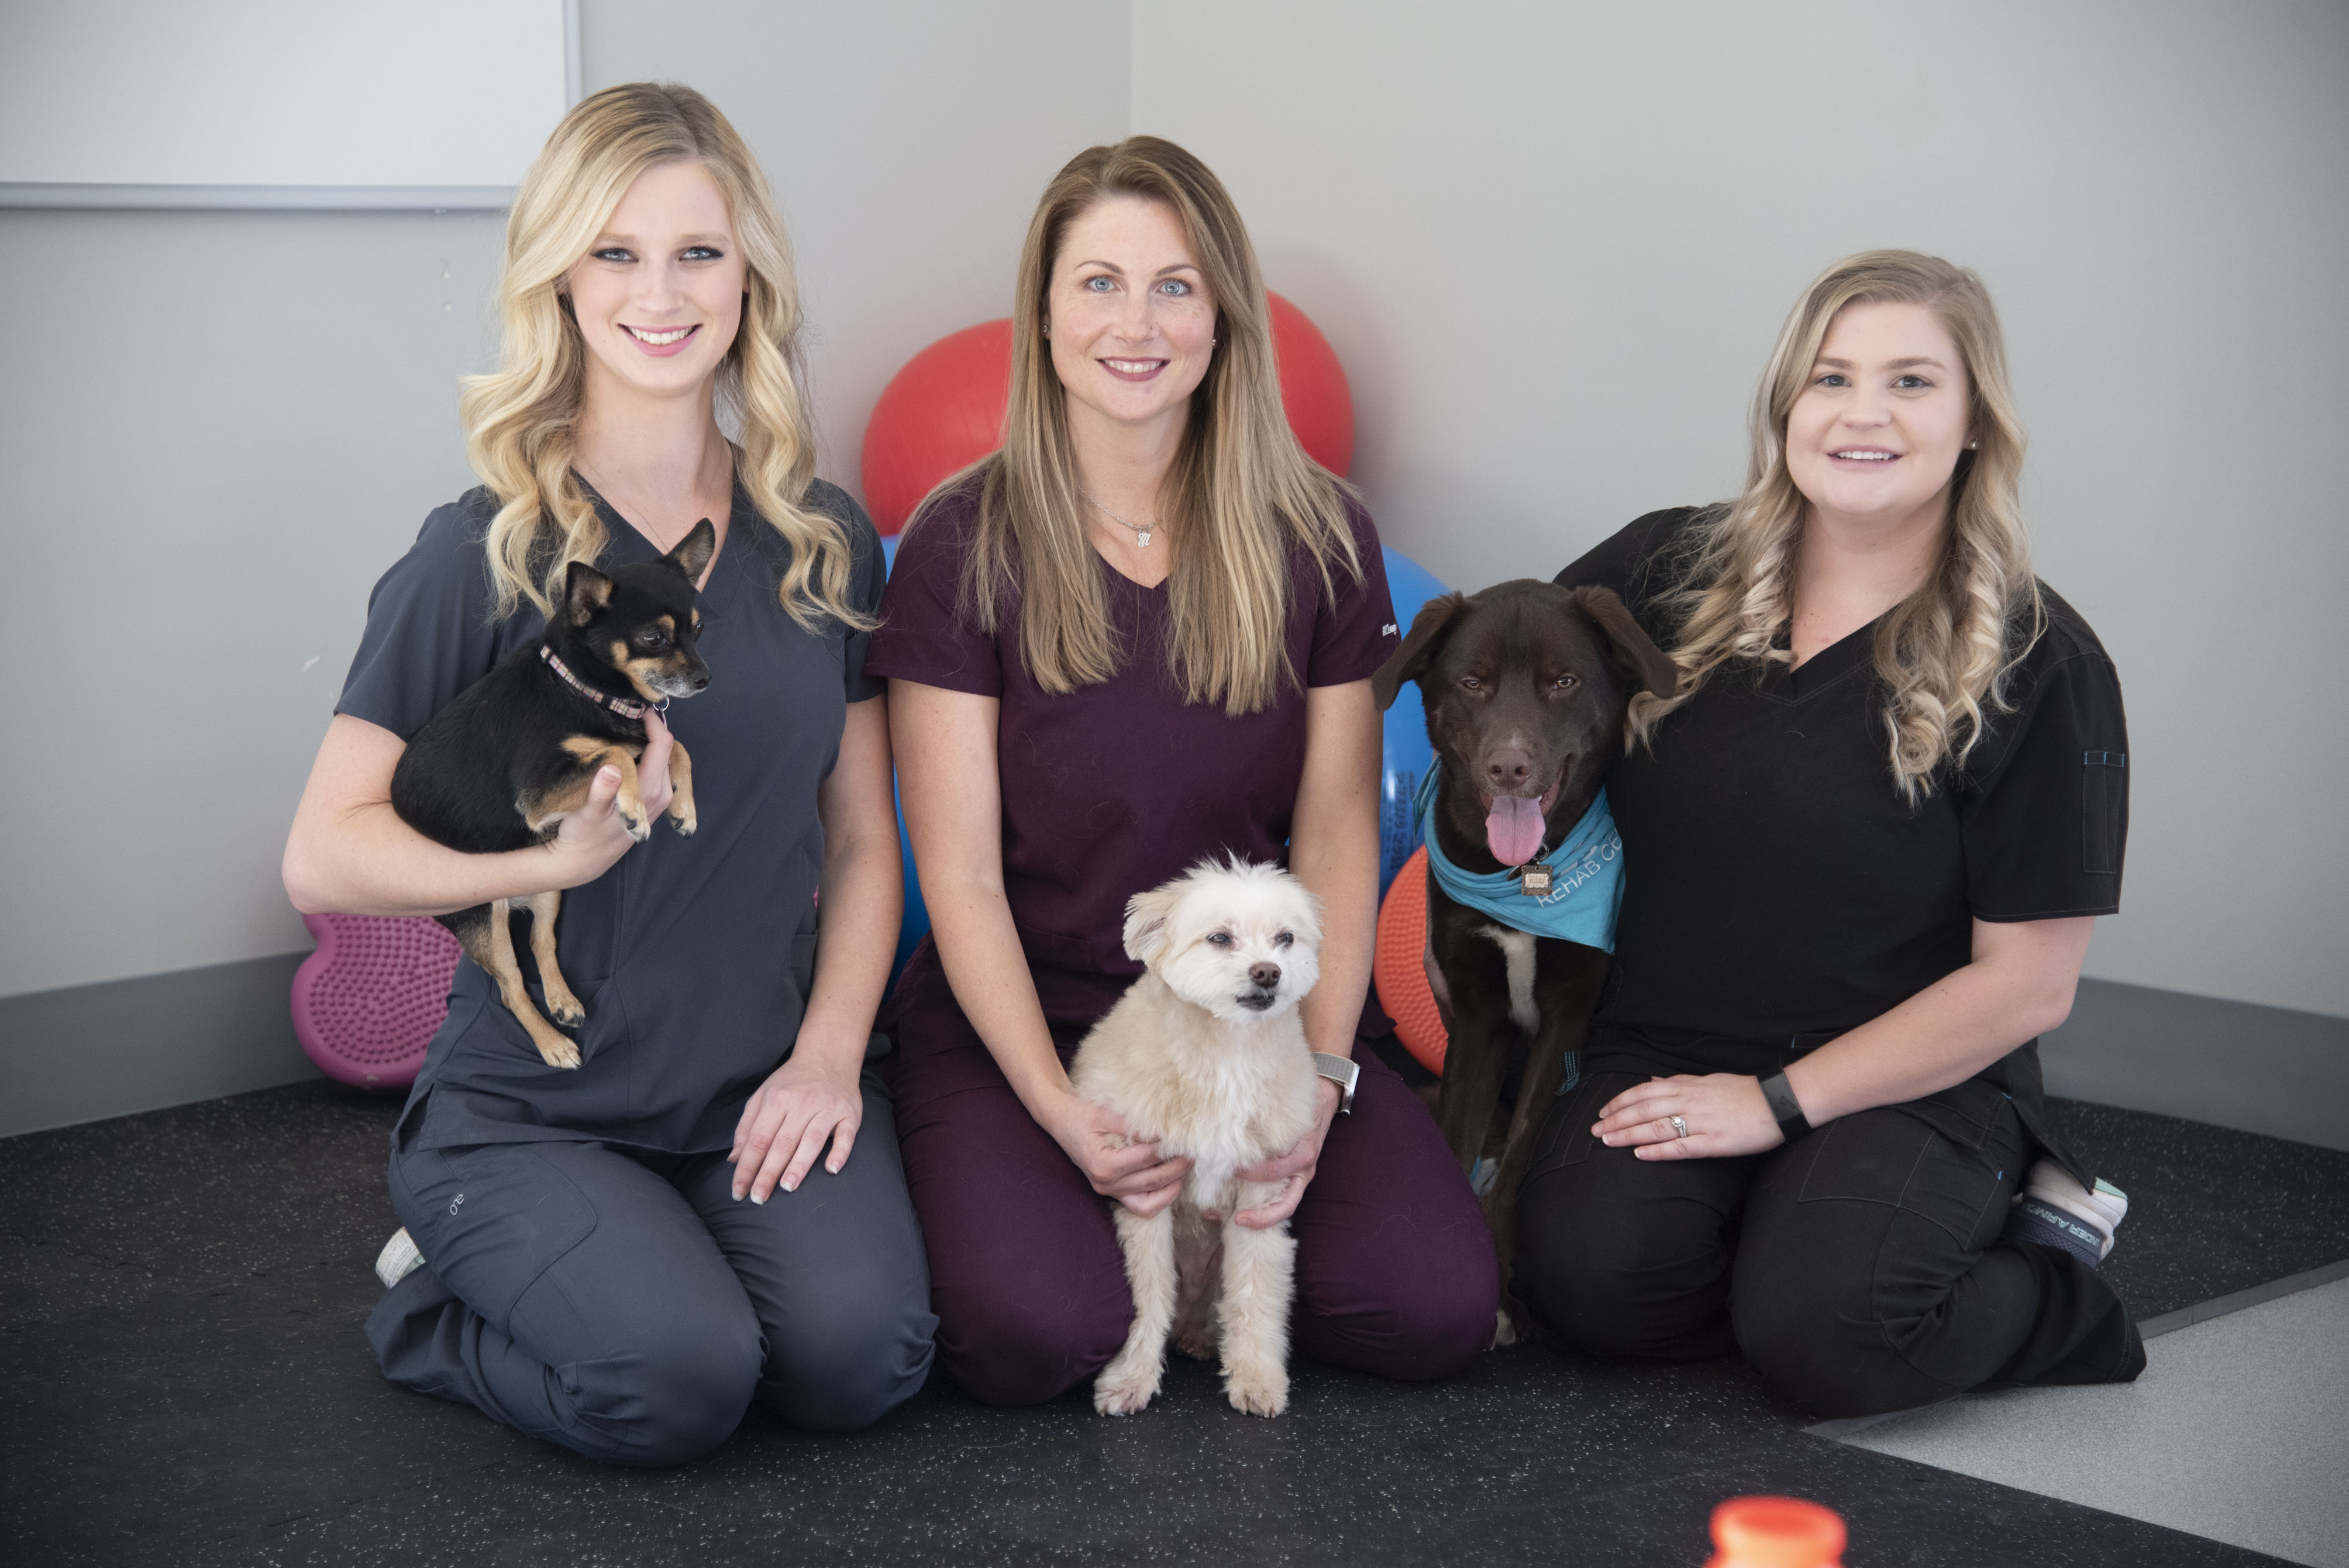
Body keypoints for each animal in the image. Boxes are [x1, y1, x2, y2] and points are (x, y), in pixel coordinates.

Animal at [392, 521, 714, 1070]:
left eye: (697, 630)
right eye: (654, 637)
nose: (704, 679)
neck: (584, 688)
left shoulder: (642, 739)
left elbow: (676, 748)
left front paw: (685, 809)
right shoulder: (539, 792)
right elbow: (616, 754)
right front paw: (634, 810)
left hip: (551, 887)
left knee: (542, 942)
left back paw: (563, 1001)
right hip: (485, 919)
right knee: (512, 987)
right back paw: (552, 1043)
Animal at [1076, 859, 1334, 1418]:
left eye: (1285, 938)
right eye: (1220, 937)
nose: (1268, 972)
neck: (1227, 1053)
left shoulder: (1261, 1200)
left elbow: (1255, 1295)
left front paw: (1256, 1377)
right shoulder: (1146, 1196)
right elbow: (1147, 1298)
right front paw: (1130, 1378)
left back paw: (1199, 1338)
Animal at [1372, 575, 1682, 1324]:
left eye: (1563, 681)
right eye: (1472, 683)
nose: (1508, 767)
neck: (1527, 876)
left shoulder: (1566, 1018)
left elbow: (1517, 1155)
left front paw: (1501, 1270)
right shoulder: (1477, 1016)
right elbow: (1458, 1134)